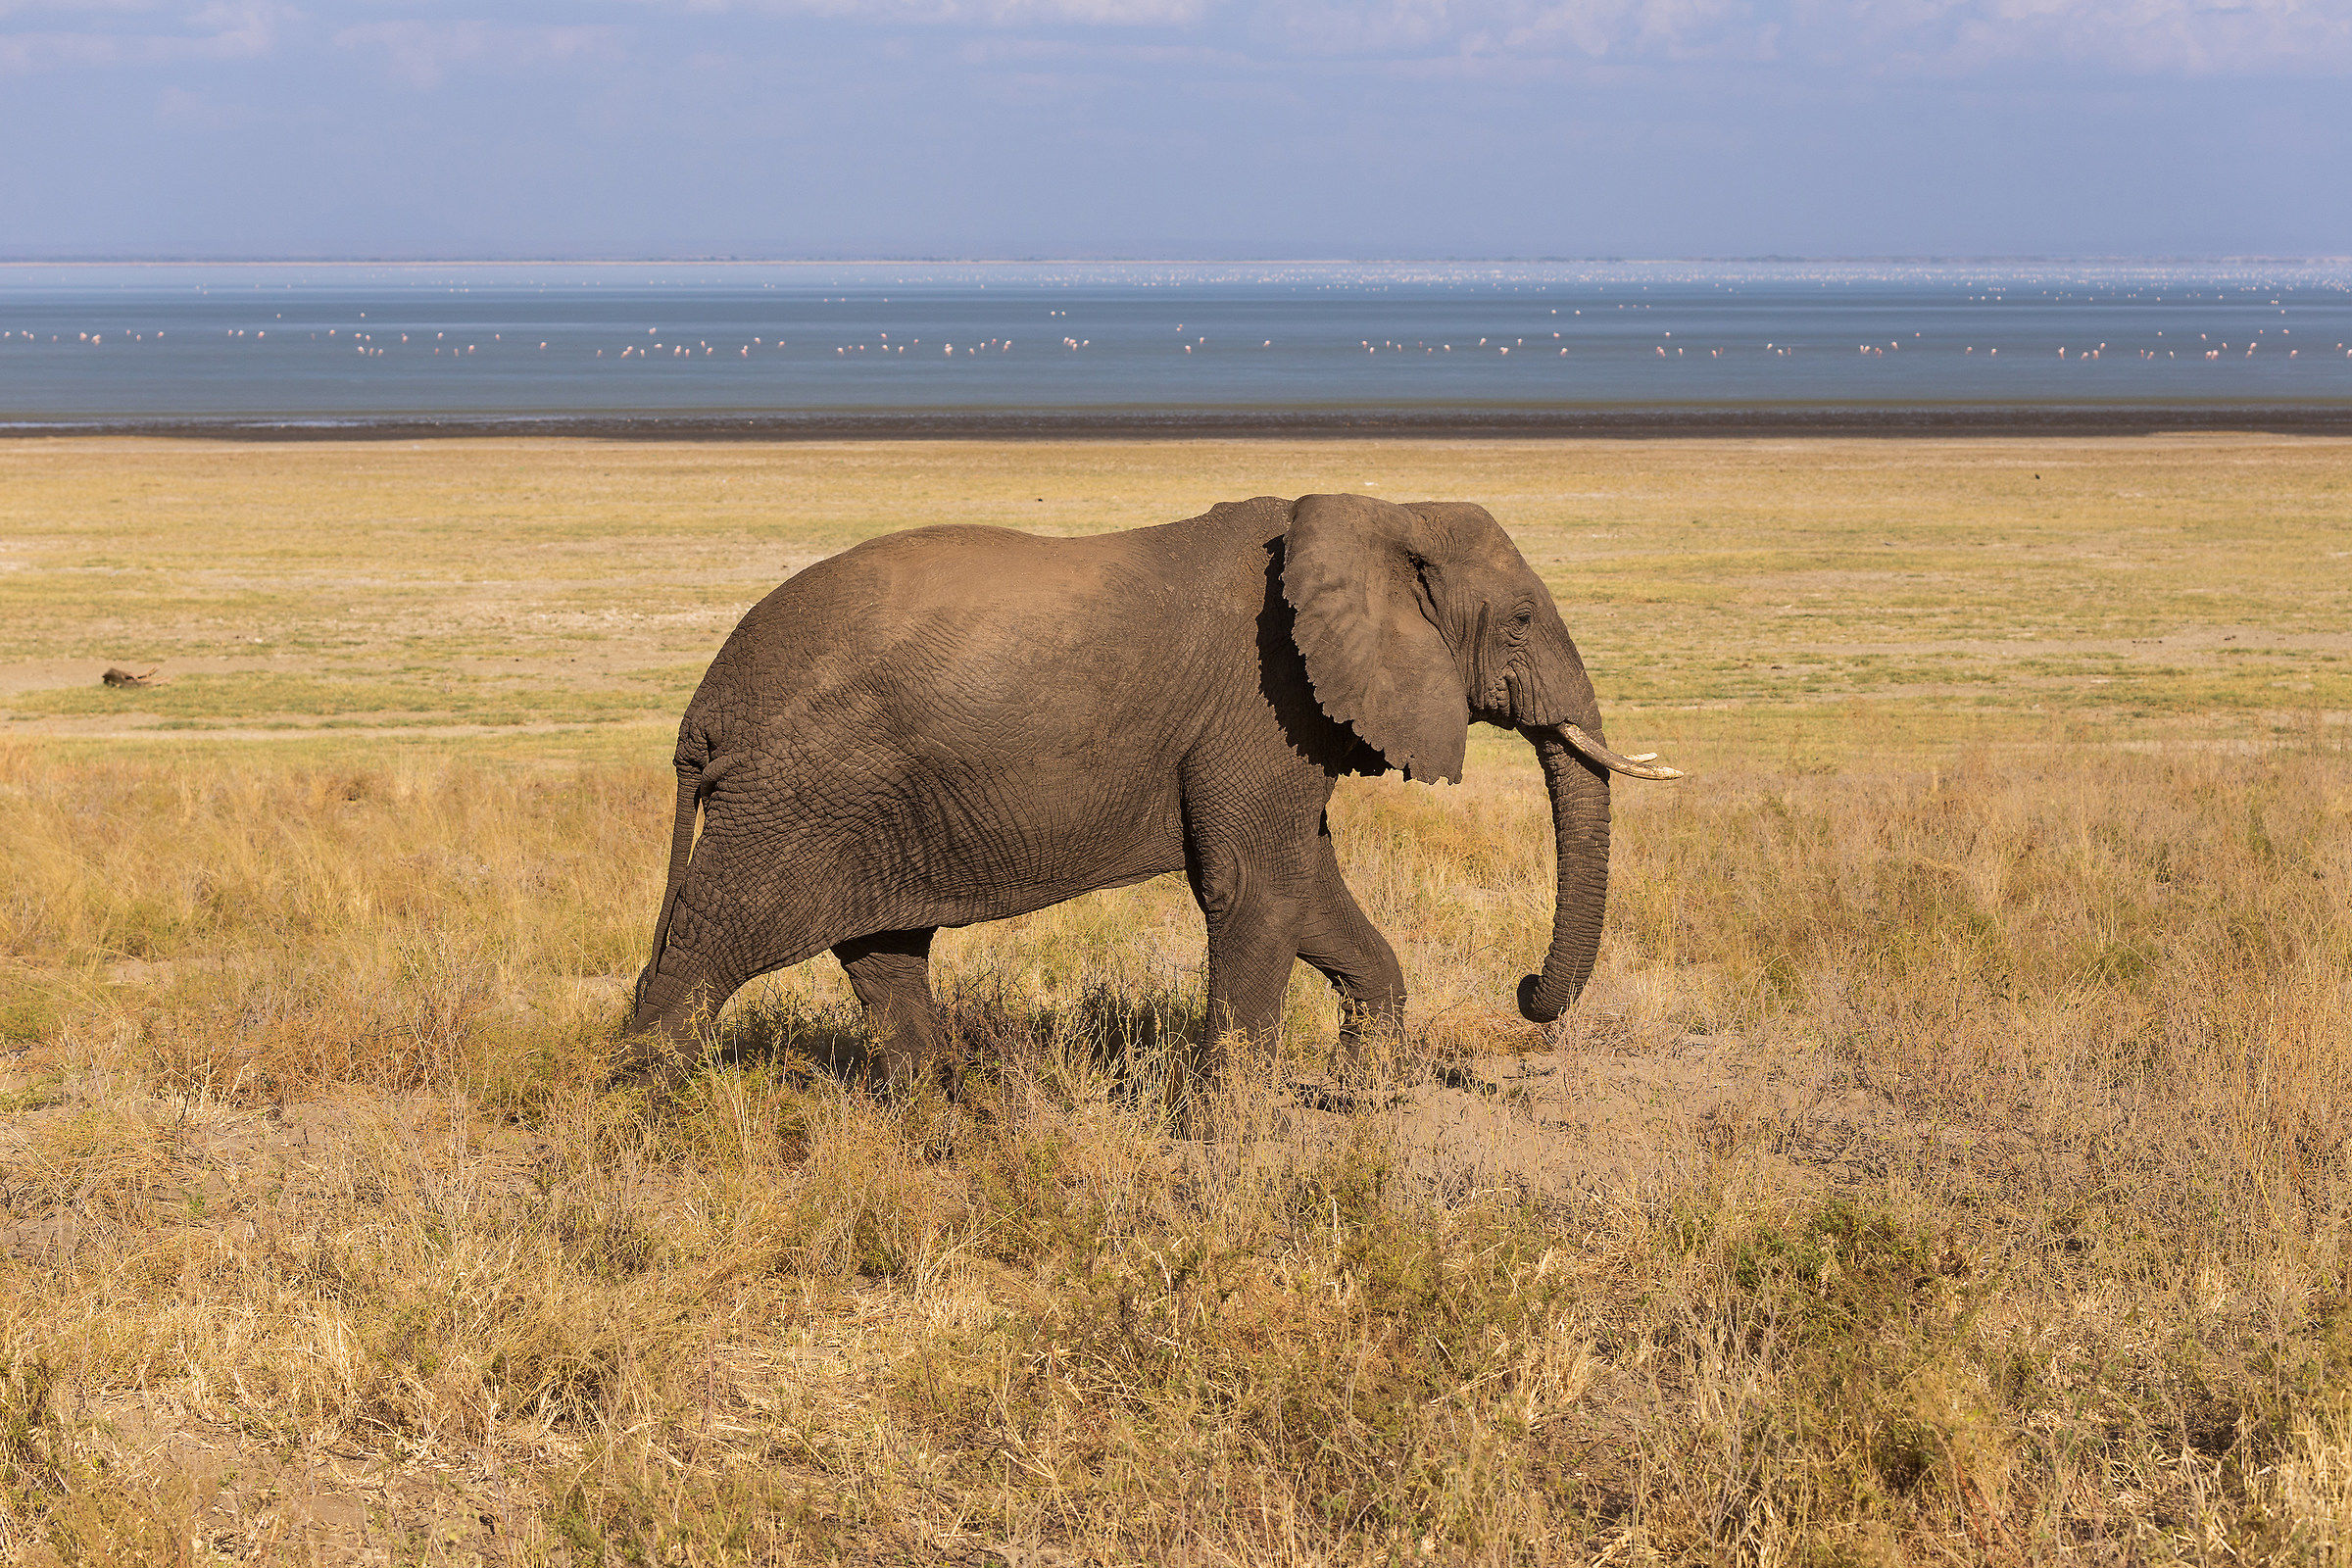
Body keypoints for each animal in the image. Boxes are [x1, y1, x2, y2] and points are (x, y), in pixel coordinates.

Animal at [627, 492, 1680, 1091]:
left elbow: (1306, 889)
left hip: (861, 800)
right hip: (793, 795)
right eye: (1523, 618)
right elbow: (1255, 887)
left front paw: (1363, 1094)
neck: (1380, 512)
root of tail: (701, 712)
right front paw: (1238, 1130)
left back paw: (932, 1113)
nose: (1528, 990)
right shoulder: (1262, 695)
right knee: (707, 951)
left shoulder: (1282, 719)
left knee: (882, 951)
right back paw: (647, 1118)